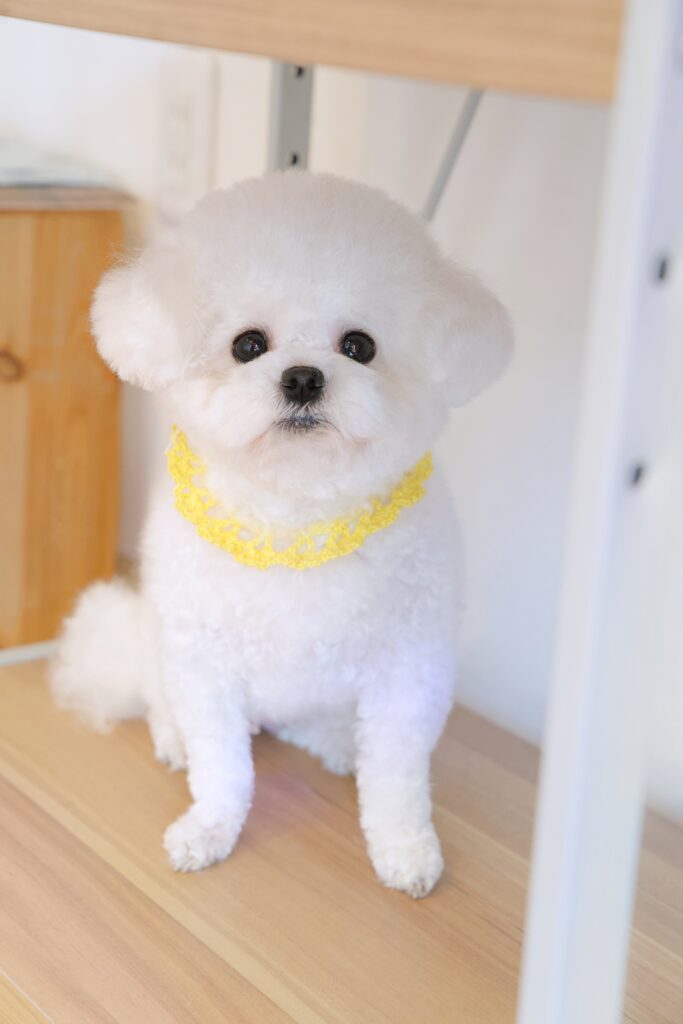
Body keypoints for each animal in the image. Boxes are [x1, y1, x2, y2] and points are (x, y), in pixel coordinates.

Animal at [52, 172, 512, 898]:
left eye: (359, 346)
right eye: (248, 344)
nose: (302, 376)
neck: (297, 517)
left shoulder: (410, 670)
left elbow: (397, 779)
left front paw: (406, 851)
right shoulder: (205, 666)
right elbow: (224, 770)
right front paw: (209, 828)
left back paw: (337, 742)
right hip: (161, 646)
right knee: (160, 699)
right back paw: (173, 739)